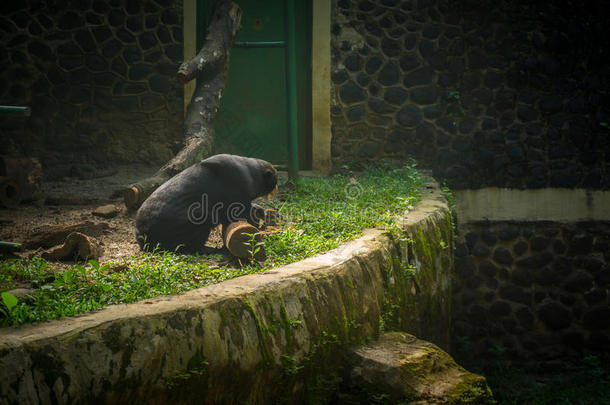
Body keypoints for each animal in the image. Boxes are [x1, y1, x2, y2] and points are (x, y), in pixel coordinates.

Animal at [135, 154, 278, 252]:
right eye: (275, 179)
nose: (276, 188)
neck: (251, 175)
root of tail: (141, 234)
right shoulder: (237, 194)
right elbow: (242, 211)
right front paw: (257, 225)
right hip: (193, 218)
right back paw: (210, 249)